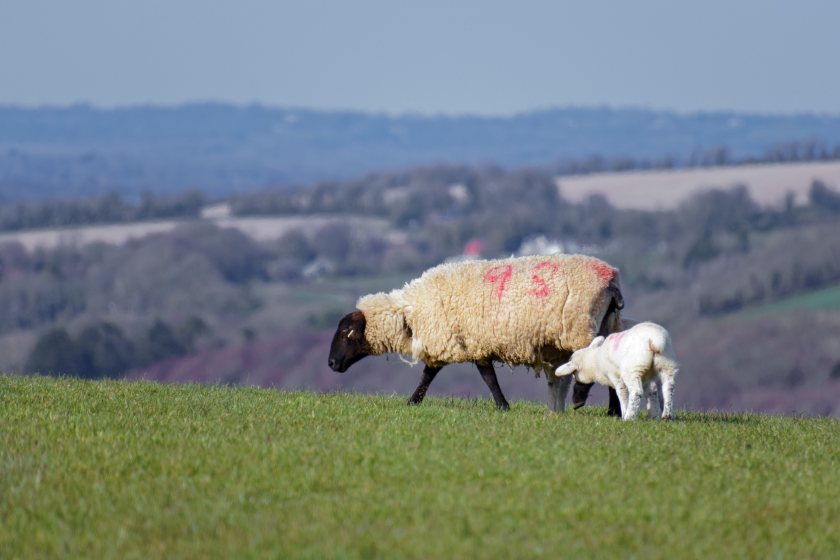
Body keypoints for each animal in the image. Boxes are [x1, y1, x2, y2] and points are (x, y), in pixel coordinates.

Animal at [328, 254, 624, 411]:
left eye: (345, 333)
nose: (331, 363)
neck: (410, 314)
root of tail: (611, 279)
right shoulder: (458, 342)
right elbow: (430, 375)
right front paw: (413, 402)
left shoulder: (471, 342)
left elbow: (487, 378)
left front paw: (502, 406)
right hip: (606, 323)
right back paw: (612, 411)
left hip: (580, 326)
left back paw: (582, 400)